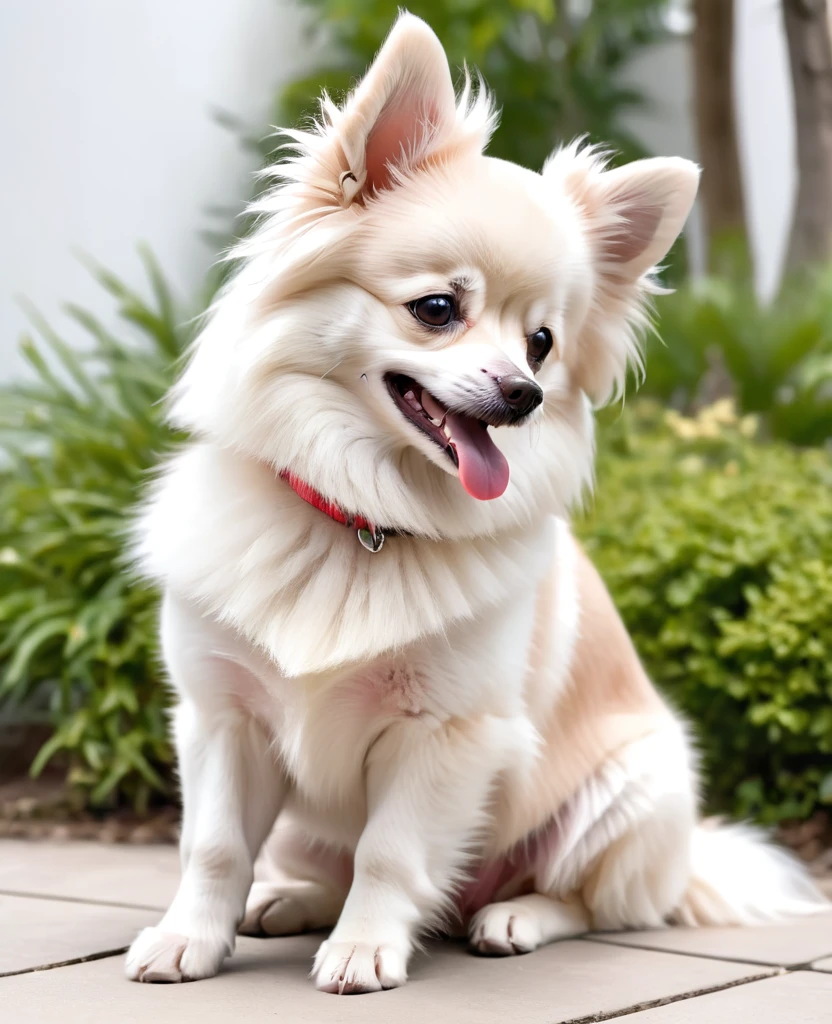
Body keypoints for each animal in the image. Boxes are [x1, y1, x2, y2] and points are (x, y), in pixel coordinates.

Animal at [125, 14, 823, 991]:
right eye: (436, 308)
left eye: (543, 343)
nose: (524, 394)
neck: (364, 521)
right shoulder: (223, 719)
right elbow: (215, 847)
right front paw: (190, 938)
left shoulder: (446, 735)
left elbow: (389, 854)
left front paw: (365, 949)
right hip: (307, 826)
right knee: (321, 867)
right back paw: (290, 902)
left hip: (629, 792)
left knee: (587, 903)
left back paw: (511, 918)